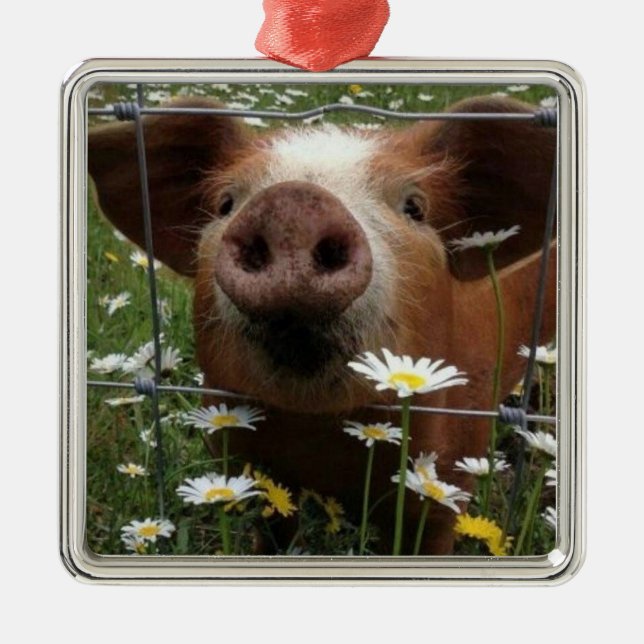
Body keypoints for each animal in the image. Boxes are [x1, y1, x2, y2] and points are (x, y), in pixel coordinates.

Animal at [88, 95, 556, 555]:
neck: (320, 438)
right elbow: (273, 529)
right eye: (225, 203)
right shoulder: (248, 465)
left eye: (415, 207)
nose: (294, 202)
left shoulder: (445, 481)